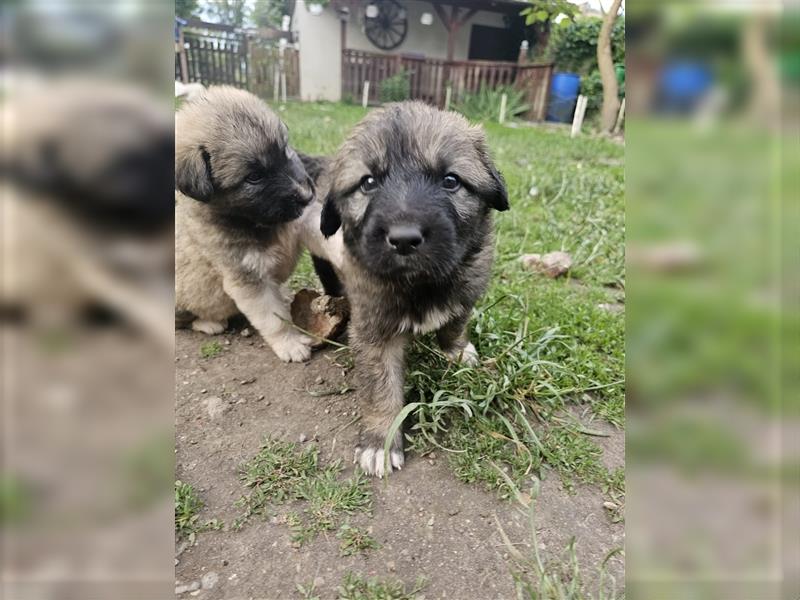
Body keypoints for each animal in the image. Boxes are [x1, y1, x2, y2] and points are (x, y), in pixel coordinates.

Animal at [174, 87, 316, 364]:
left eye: (285, 149)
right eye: (254, 177)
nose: (306, 195)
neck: (254, 221)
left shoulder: (298, 223)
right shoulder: (248, 280)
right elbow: (275, 318)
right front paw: (290, 343)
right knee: (183, 321)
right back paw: (208, 323)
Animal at [310, 102, 510, 478]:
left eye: (451, 181)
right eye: (368, 182)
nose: (403, 239)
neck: (421, 283)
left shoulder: (467, 291)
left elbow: (455, 323)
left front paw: (457, 351)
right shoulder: (374, 331)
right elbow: (381, 389)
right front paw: (381, 441)